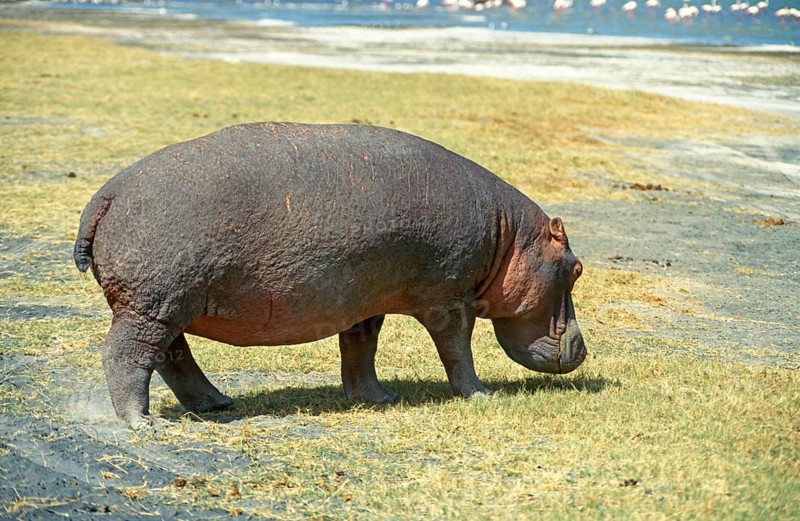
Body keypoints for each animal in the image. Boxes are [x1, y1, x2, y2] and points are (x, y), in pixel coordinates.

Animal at [74, 122, 586, 429]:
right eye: (577, 269)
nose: (583, 348)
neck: (510, 236)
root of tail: (107, 193)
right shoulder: (449, 298)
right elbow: (457, 350)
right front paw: (480, 395)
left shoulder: (365, 301)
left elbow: (360, 348)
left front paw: (379, 398)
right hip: (153, 305)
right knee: (128, 355)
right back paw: (143, 423)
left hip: (167, 305)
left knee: (172, 356)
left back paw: (217, 403)